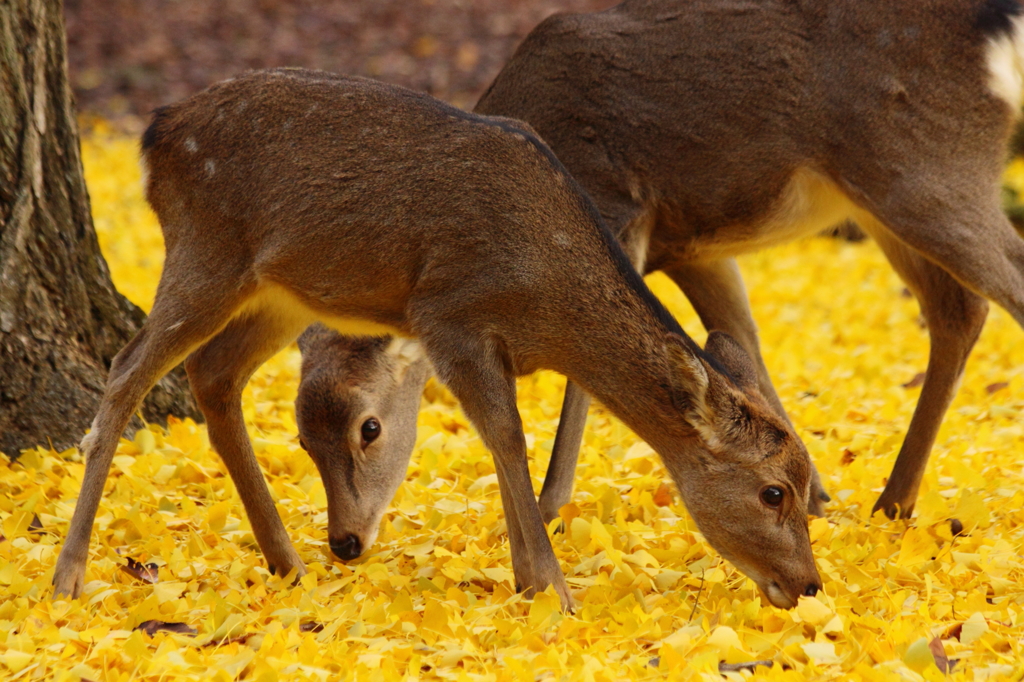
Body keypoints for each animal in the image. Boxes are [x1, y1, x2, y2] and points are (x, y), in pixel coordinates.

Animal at [51, 67, 823, 606]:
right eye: (773, 493)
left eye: (804, 479)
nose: (811, 584)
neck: (546, 299)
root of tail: (153, 133)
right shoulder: (449, 314)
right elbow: (507, 436)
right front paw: (553, 591)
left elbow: (505, 438)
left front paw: (528, 582)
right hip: (204, 248)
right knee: (125, 371)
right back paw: (68, 576)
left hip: (279, 289)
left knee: (213, 373)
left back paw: (288, 562)